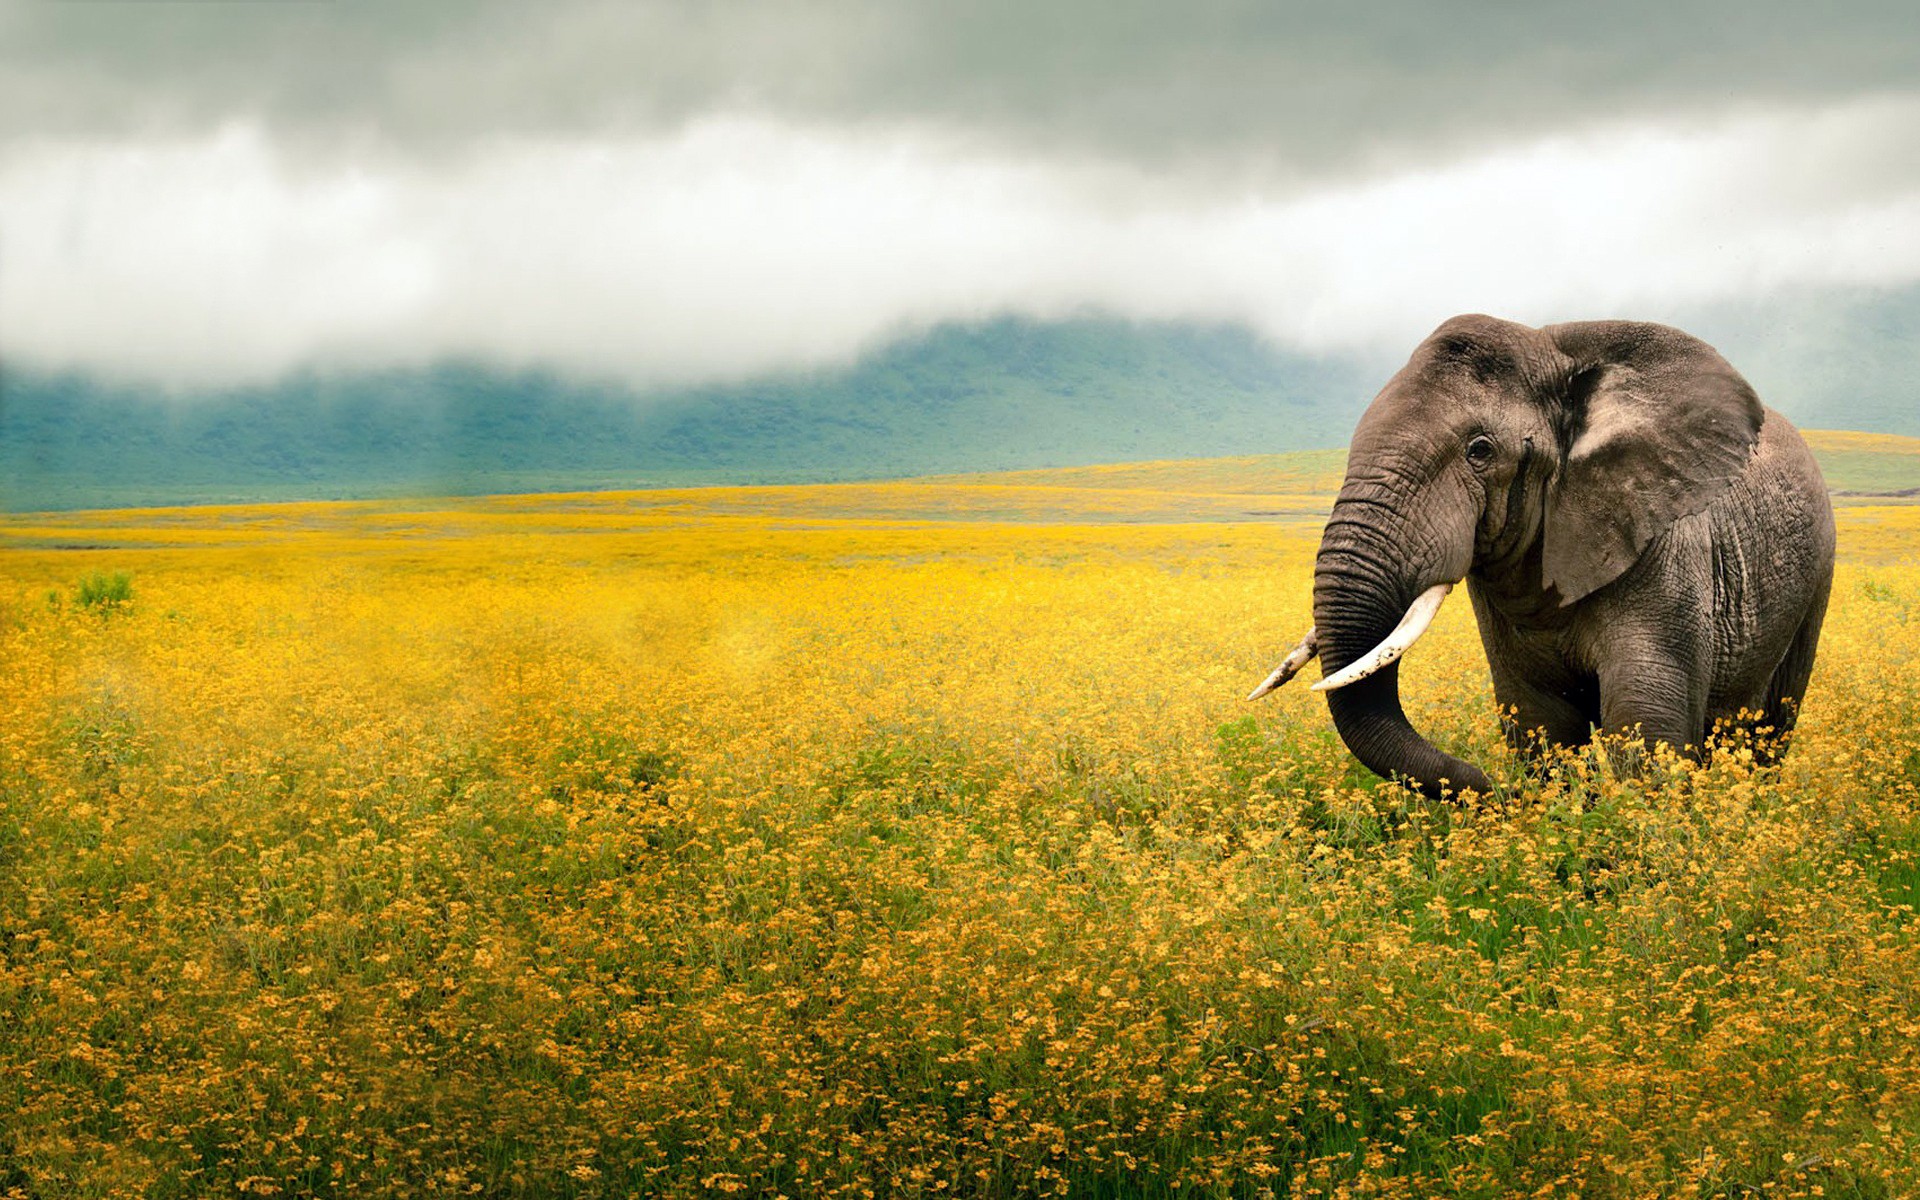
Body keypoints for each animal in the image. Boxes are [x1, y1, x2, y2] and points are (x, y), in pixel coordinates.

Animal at [1249, 314, 1836, 799]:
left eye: (1480, 451)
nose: (1490, 788)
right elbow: (1541, 722)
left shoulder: (1667, 547)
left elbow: (1645, 724)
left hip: (1816, 578)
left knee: (1770, 726)